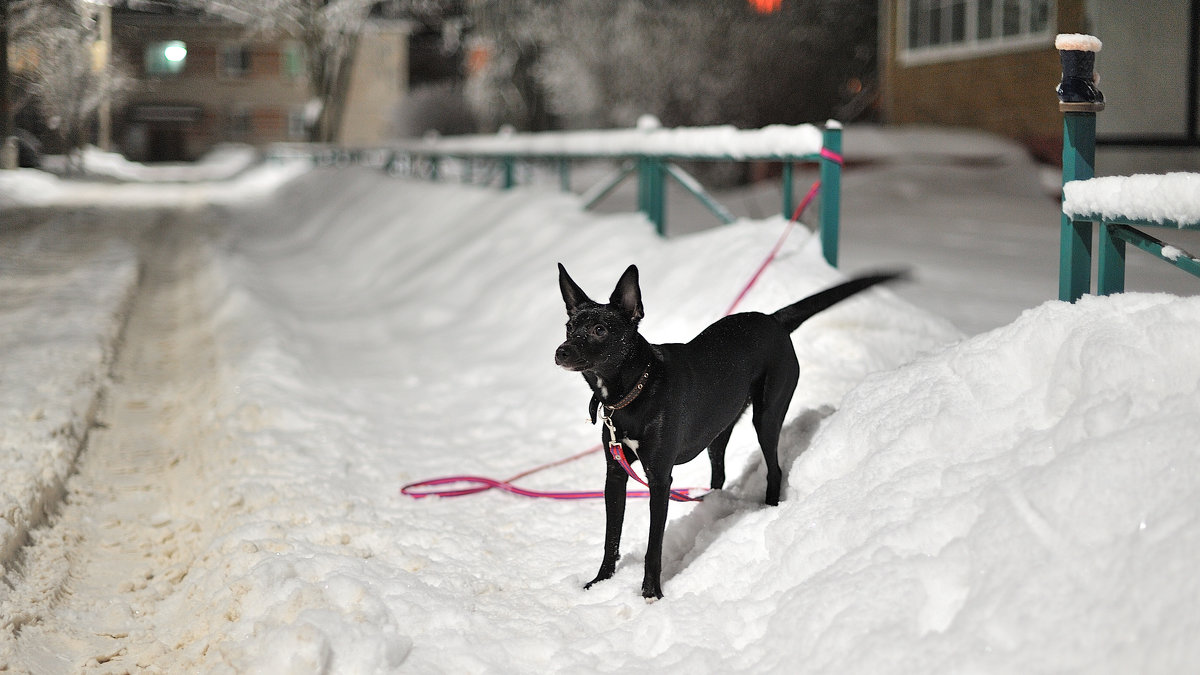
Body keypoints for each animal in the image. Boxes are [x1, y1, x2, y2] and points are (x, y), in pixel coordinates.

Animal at [552, 260, 902, 595]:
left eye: (599, 329)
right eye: (569, 327)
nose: (561, 351)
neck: (635, 389)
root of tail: (773, 319)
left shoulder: (660, 478)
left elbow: (654, 545)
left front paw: (651, 592)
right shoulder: (615, 473)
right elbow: (611, 537)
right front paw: (600, 582)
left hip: (768, 414)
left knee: (774, 468)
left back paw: (767, 510)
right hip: (718, 429)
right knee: (718, 473)